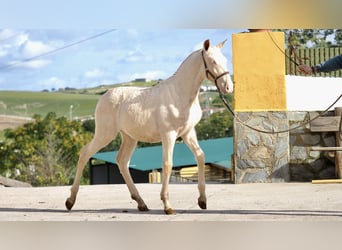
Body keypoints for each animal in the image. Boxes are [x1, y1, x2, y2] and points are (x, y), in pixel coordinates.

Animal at [65, 39, 234, 215]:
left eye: (225, 60)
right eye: (213, 61)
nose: (228, 88)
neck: (180, 94)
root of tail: (105, 96)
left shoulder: (188, 133)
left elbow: (200, 156)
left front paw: (202, 200)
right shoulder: (169, 135)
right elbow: (167, 164)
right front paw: (167, 206)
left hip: (129, 137)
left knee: (122, 161)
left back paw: (141, 203)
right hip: (105, 134)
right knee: (85, 153)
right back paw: (70, 201)